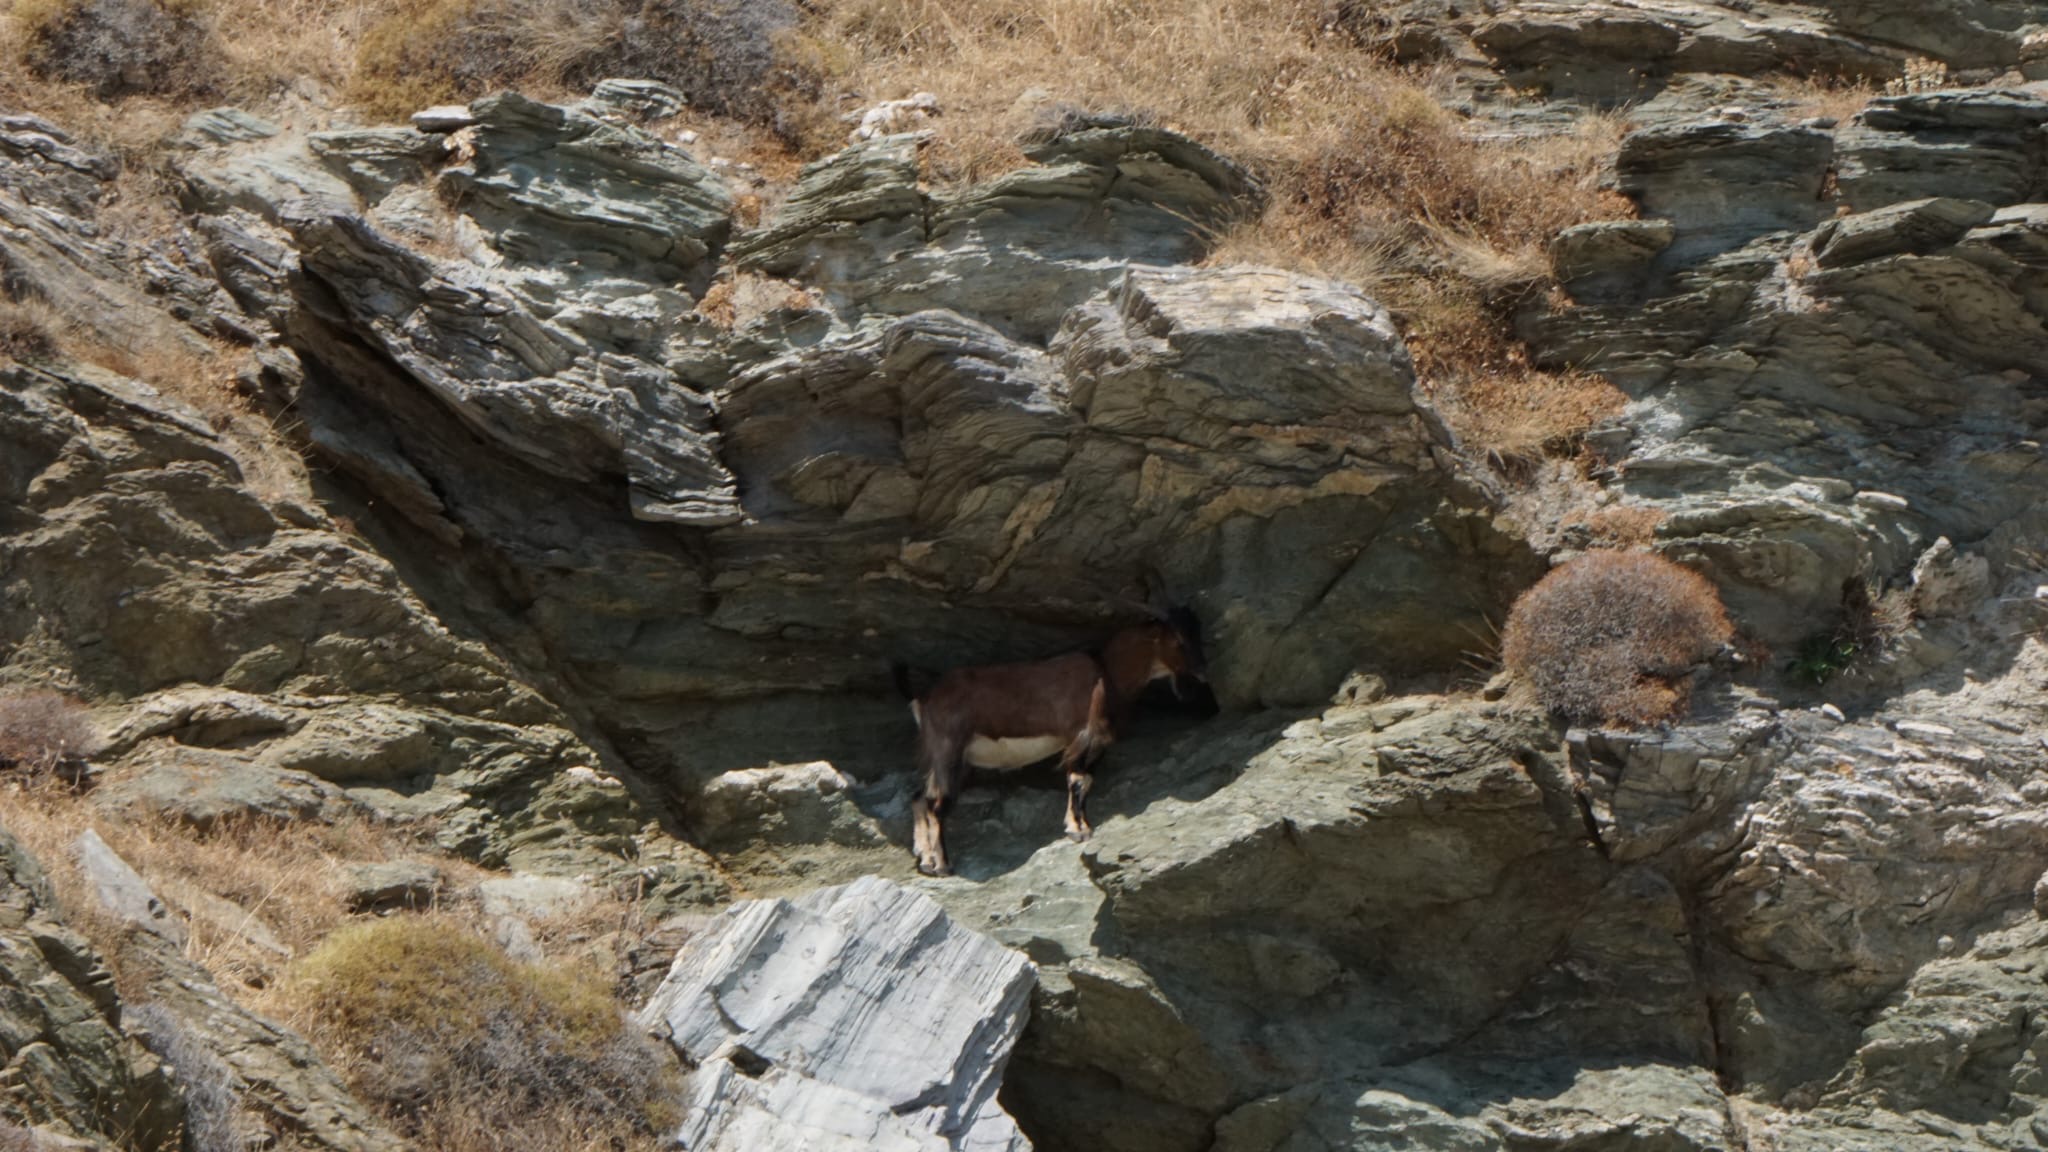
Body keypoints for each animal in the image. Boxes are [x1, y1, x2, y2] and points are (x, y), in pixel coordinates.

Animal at [895, 604, 1206, 877]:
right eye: (1178, 639)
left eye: (1198, 634)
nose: (1201, 673)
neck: (1106, 673)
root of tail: (923, 698)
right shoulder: (1080, 737)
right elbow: (1076, 779)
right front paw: (1078, 830)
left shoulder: (1098, 746)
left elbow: (1086, 781)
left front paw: (1080, 825)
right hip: (948, 749)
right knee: (937, 805)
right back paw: (943, 865)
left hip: (939, 757)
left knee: (920, 797)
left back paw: (925, 859)